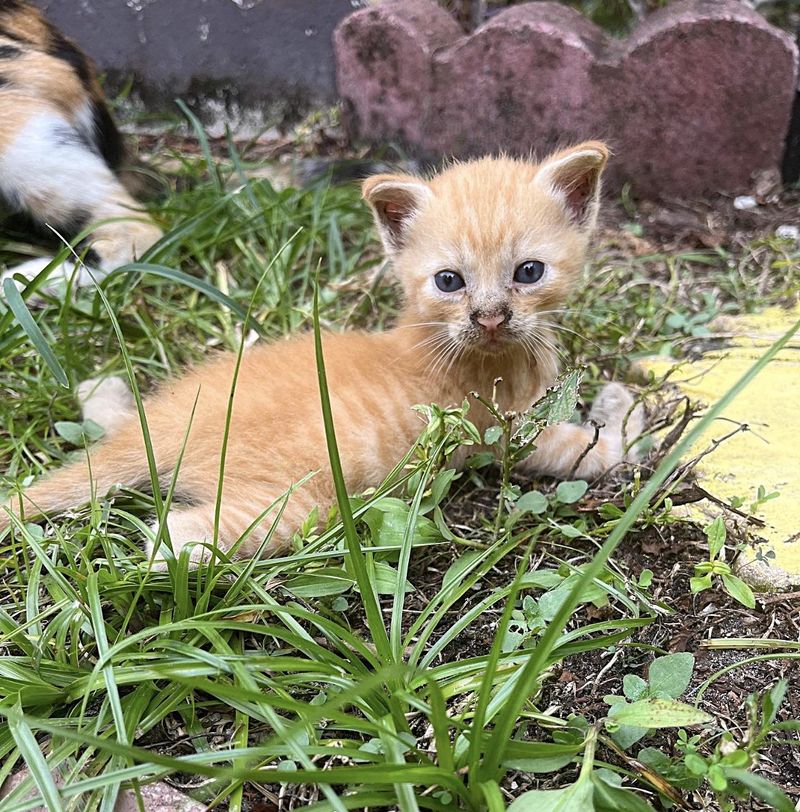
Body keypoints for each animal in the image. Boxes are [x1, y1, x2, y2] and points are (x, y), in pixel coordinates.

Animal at [0, 143, 644, 564]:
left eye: (528, 272)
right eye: (450, 282)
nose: (489, 318)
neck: (439, 342)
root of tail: (160, 429)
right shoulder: (509, 431)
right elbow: (602, 451)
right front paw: (628, 409)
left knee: (108, 416)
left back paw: (104, 396)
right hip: (298, 503)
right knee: (179, 533)